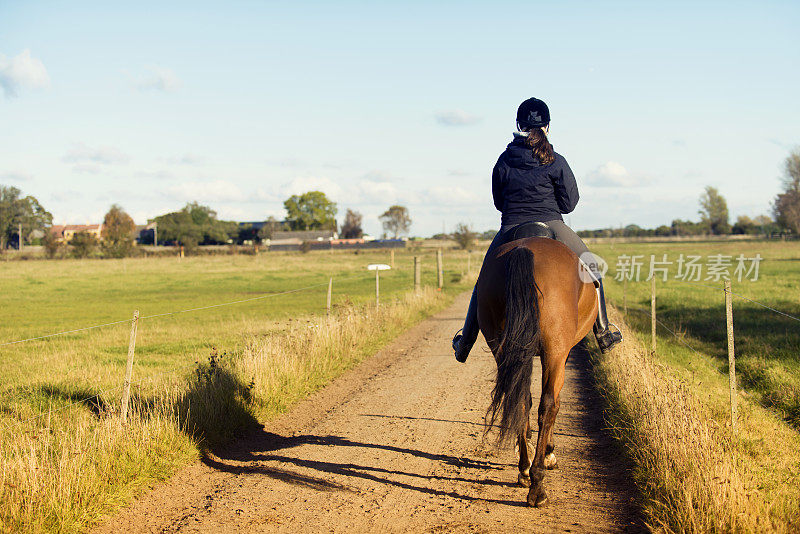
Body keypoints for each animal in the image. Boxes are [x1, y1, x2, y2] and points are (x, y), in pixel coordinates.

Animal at [476, 237, 600, 508]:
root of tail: (525, 249)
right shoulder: (562, 355)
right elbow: (554, 403)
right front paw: (549, 452)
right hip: (555, 351)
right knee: (548, 405)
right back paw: (537, 485)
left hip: (503, 348)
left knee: (521, 401)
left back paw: (524, 469)